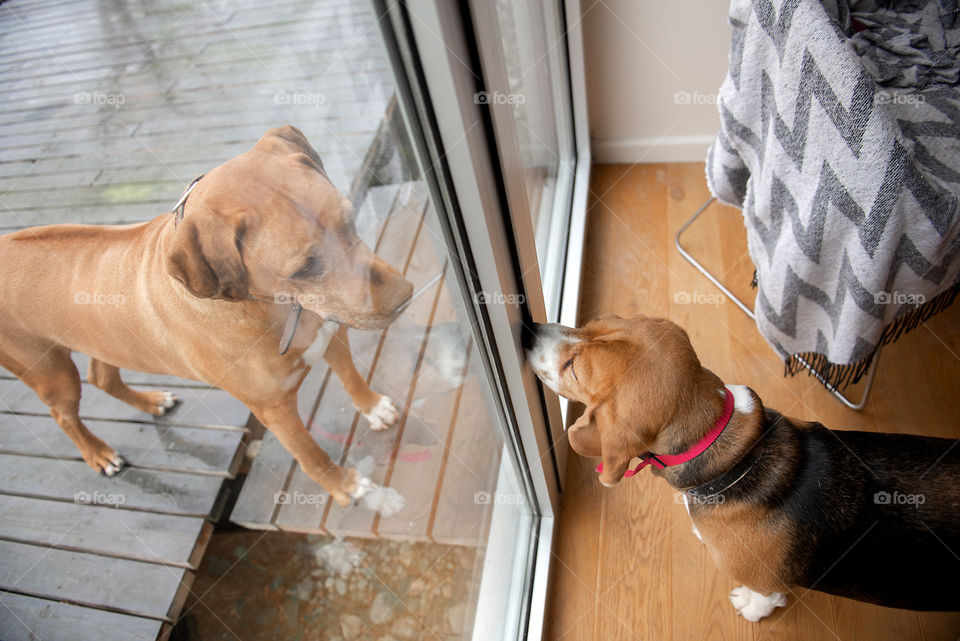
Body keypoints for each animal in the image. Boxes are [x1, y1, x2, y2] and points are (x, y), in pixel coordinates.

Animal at [0, 124, 412, 510]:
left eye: (350, 219)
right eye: (305, 267)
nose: (405, 297)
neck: (274, 306)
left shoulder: (329, 329)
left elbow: (351, 375)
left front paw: (372, 406)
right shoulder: (274, 409)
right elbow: (311, 454)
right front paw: (345, 486)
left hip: (105, 341)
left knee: (102, 377)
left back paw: (150, 402)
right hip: (50, 372)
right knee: (64, 414)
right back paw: (98, 453)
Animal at [528, 316, 956, 620]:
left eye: (572, 367)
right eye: (587, 325)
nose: (528, 329)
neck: (734, 457)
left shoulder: (765, 582)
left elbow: (762, 598)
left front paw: (749, 607)